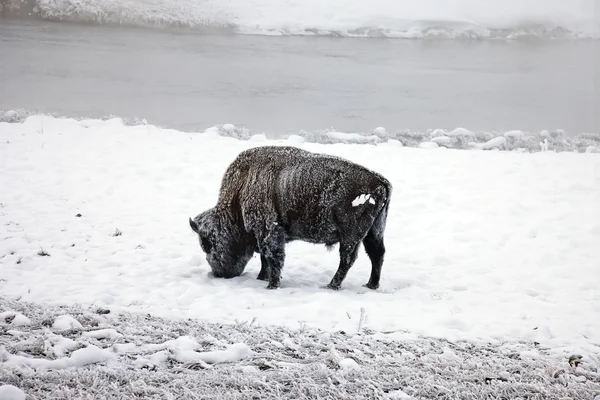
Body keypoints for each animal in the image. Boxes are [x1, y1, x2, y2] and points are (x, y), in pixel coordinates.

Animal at [190, 145, 392, 290]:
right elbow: (265, 258)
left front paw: (271, 285)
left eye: (209, 244)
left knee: (348, 259)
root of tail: (379, 181)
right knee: (376, 255)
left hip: (351, 236)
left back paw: (331, 286)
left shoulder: (268, 231)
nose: (219, 274)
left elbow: (273, 257)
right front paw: (262, 278)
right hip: (374, 232)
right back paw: (371, 285)